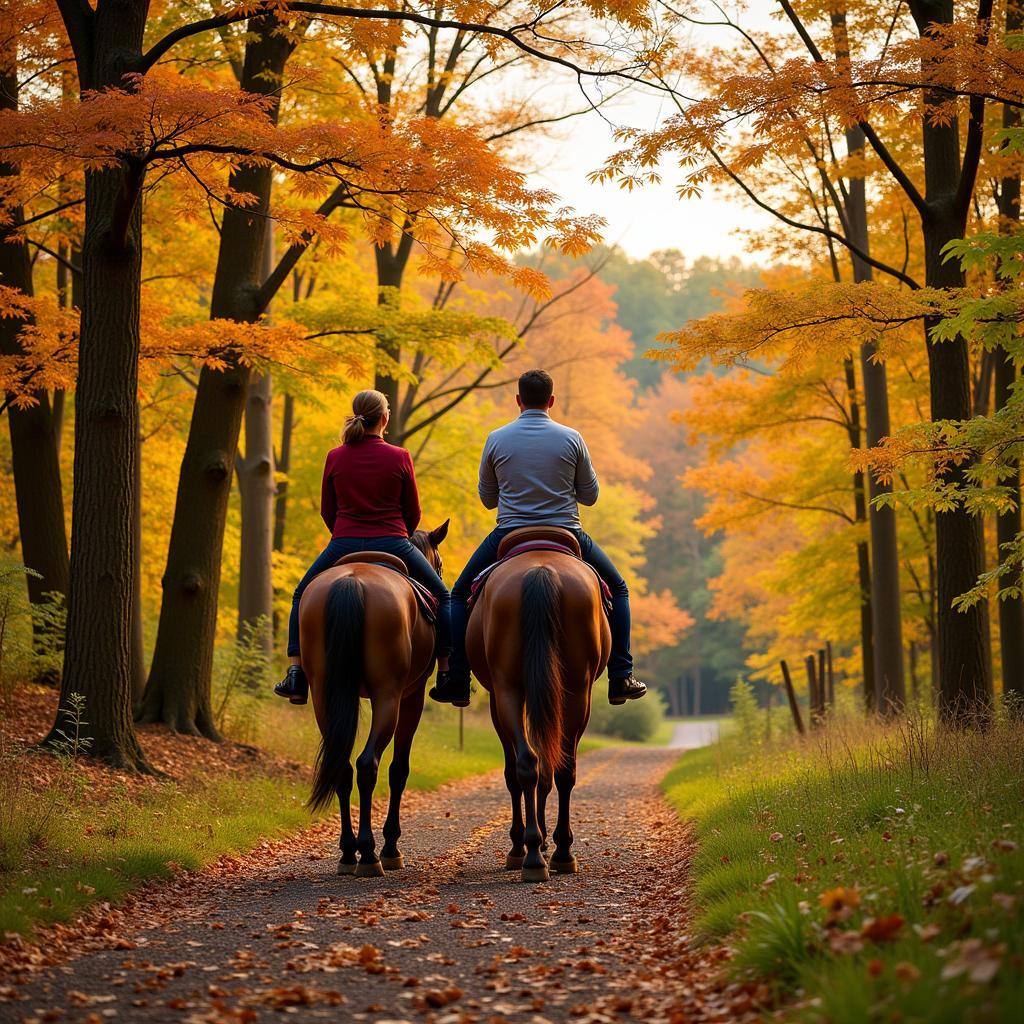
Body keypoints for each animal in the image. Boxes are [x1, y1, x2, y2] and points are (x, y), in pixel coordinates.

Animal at [301, 524, 450, 876]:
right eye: (439, 565)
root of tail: (352, 580)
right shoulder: (412, 697)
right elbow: (399, 770)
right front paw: (391, 847)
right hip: (388, 696)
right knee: (368, 763)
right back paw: (370, 853)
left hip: (323, 696)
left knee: (342, 767)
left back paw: (347, 852)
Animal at [468, 528, 610, 880]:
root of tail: (540, 570)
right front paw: (541, 841)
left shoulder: (499, 700)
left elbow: (517, 772)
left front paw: (528, 842)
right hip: (574, 691)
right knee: (557, 768)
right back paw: (555, 851)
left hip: (510, 691)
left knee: (530, 764)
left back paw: (532, 852)